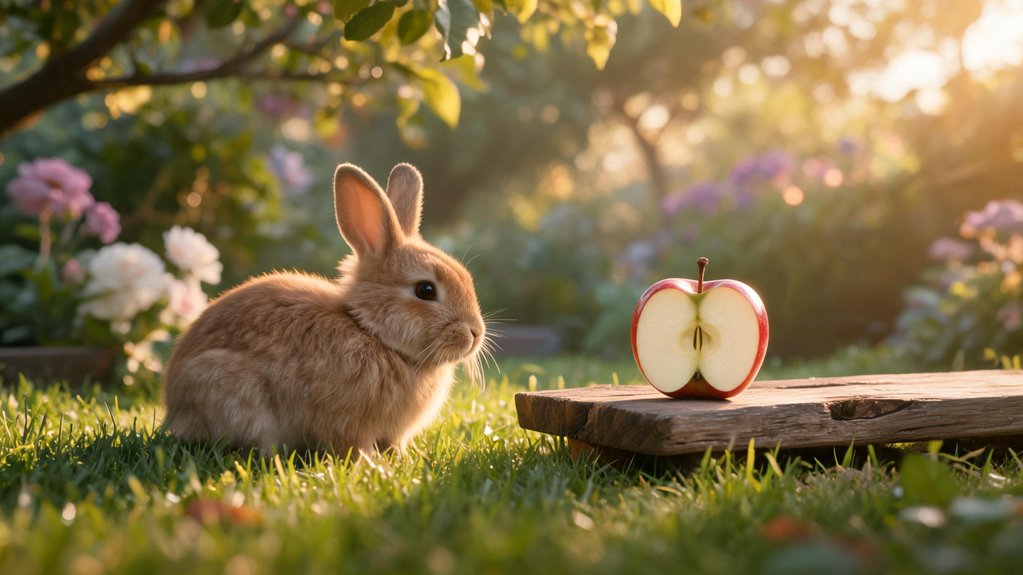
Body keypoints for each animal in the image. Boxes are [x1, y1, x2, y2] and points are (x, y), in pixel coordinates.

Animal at [162, 162, 488, 457]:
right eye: (425, 290)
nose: (475, 333)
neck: (372, 333)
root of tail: (174, 407)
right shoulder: (346, 422)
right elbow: (354, 446)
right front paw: (372, 465)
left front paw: (402, 458)